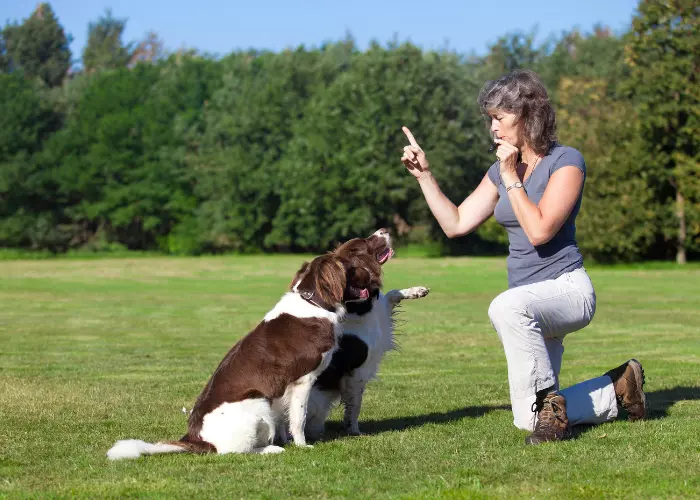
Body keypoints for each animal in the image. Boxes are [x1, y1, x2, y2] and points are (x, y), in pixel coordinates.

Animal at [105, 252, 372, 458]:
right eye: (352, 266)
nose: (371, 274)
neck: (313, 302)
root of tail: (198, 439)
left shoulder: (281, 389)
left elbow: (283, 418)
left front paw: (285, 440)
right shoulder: (303, 380)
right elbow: (298, 418)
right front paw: (301, 445)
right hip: (256, 403)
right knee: (233, 451)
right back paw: (270, 450)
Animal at [304, 229, 430, 440]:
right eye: (364, 242)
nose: (385, 229)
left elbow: (392, 294)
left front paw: (417, 291)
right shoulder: (358, 372)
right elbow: (355, 406)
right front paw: (354, 430)